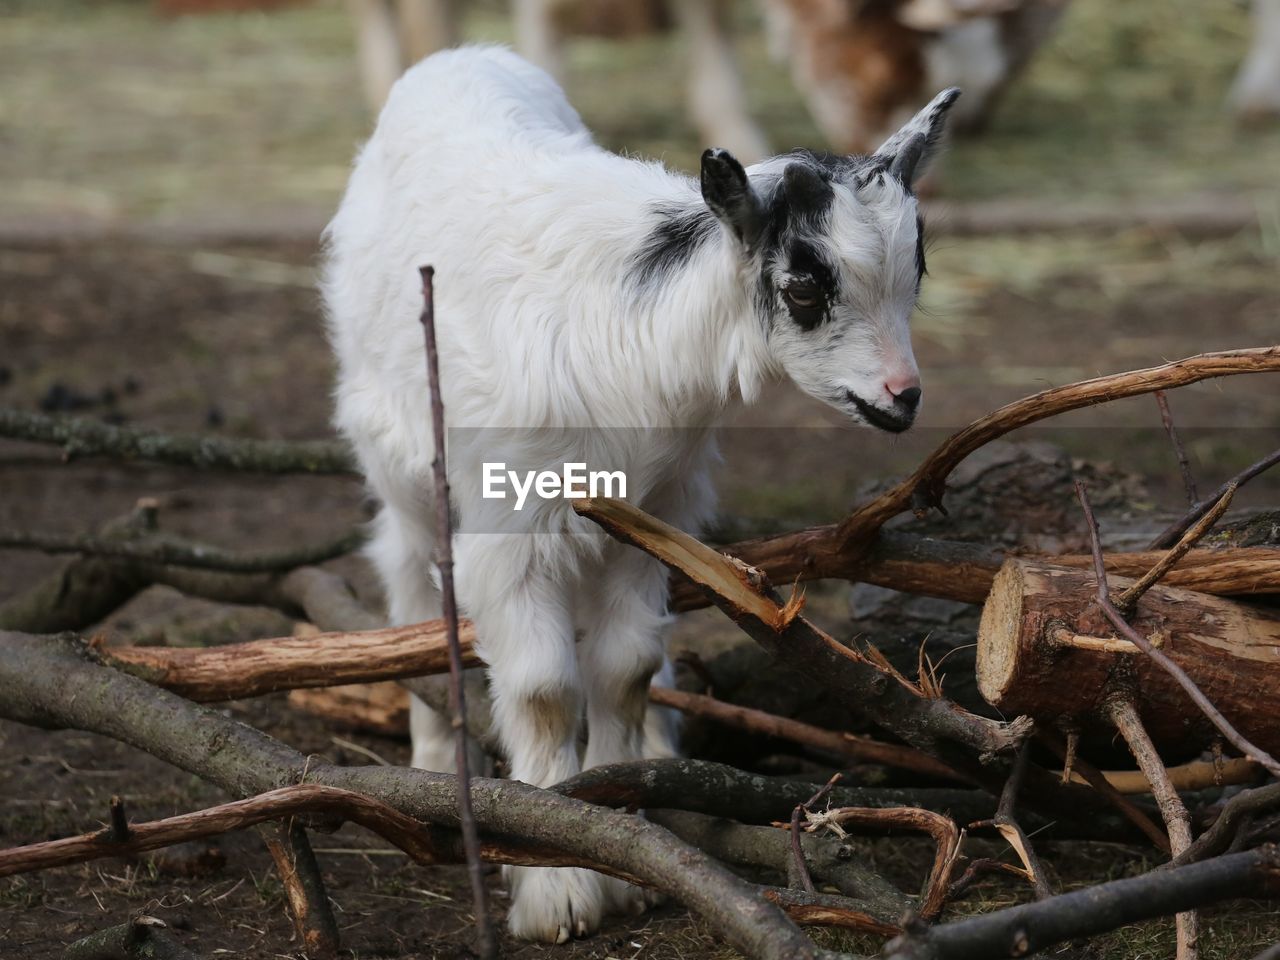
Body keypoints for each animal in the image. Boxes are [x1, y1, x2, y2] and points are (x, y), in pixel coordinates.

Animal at [325, 47, 957, 947]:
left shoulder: (652, 513)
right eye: (805, 287)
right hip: (398, 450)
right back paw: (434, 766)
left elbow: (623, 668)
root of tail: (461, 57)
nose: (902, 398)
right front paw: (557, 888)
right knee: (410, 574)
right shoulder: (510, 522)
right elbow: (544, 690)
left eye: (918, 271)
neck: (638, 337)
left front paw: (623, 837)